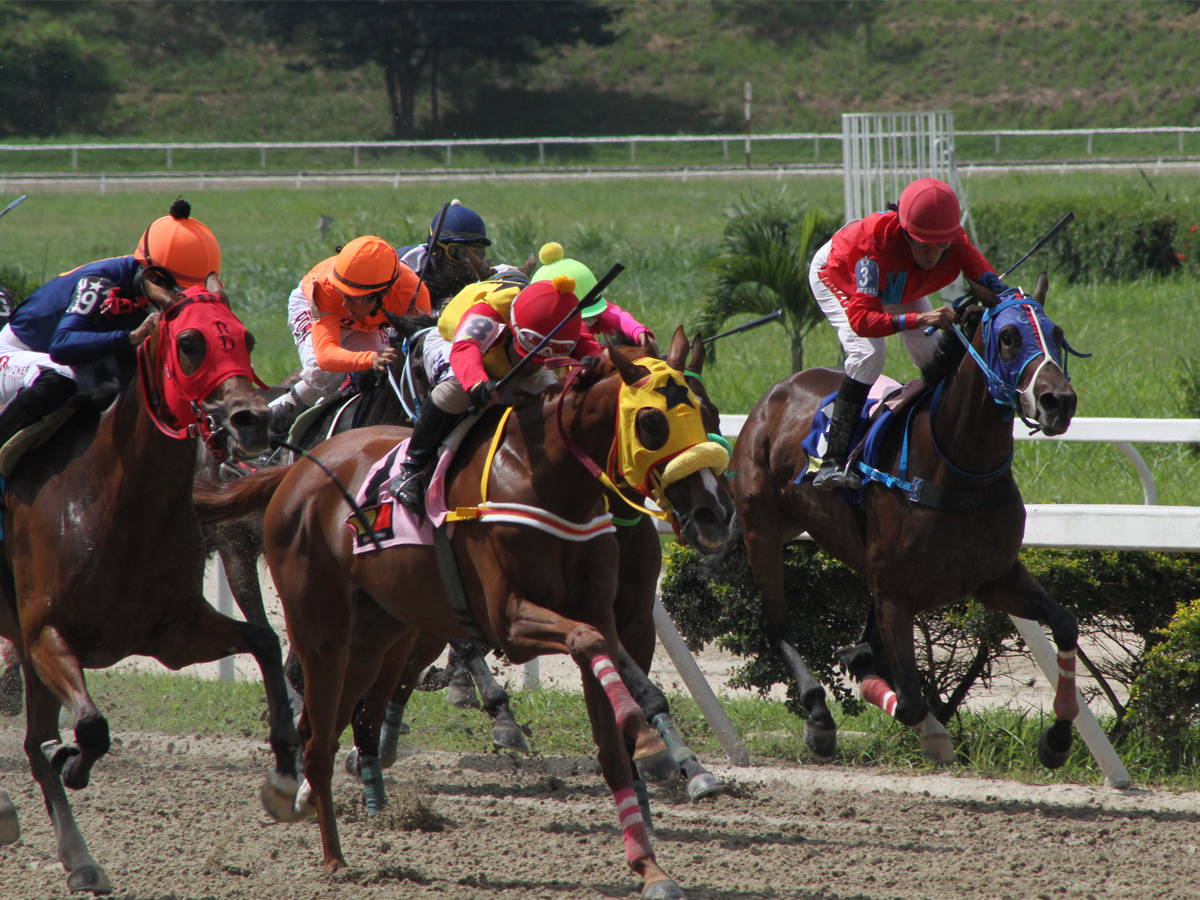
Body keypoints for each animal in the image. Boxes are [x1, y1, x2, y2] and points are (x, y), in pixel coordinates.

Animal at [0, 274, 300, 897]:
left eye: (246, 337)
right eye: (190, 343)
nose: (254, 421)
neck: (118, 499)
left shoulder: (173, 632)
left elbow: (264, 641)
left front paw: (285, 777)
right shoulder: (46, 634)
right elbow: (91, 726)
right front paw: (76, 760)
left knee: (33, 743)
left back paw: (77, 856)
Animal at [193, 343, 734, 897]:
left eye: (708, 413)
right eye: (651, 422)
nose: (714, 511)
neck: (549, 482)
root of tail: (296, 470)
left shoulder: (609, 615)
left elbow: (611, 737)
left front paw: (651, 865)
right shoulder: (509, 620)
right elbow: (587, 644)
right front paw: (645, 738)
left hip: (376, 634)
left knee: (333, 721)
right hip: (319, 626)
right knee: (318, 730)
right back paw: (333, 856)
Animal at [729, 277, 1089, 768]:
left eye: (1057, 333)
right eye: (1009, 338)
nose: (1060, 402)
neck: (958, 469)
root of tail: (779, 390)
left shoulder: (994, 577)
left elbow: (1066, 622)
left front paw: (1057, 737)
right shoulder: (895, 593)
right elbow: (910, 702)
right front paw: (928, 728)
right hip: (760, 527)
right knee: (776, 624)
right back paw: (818, 716)